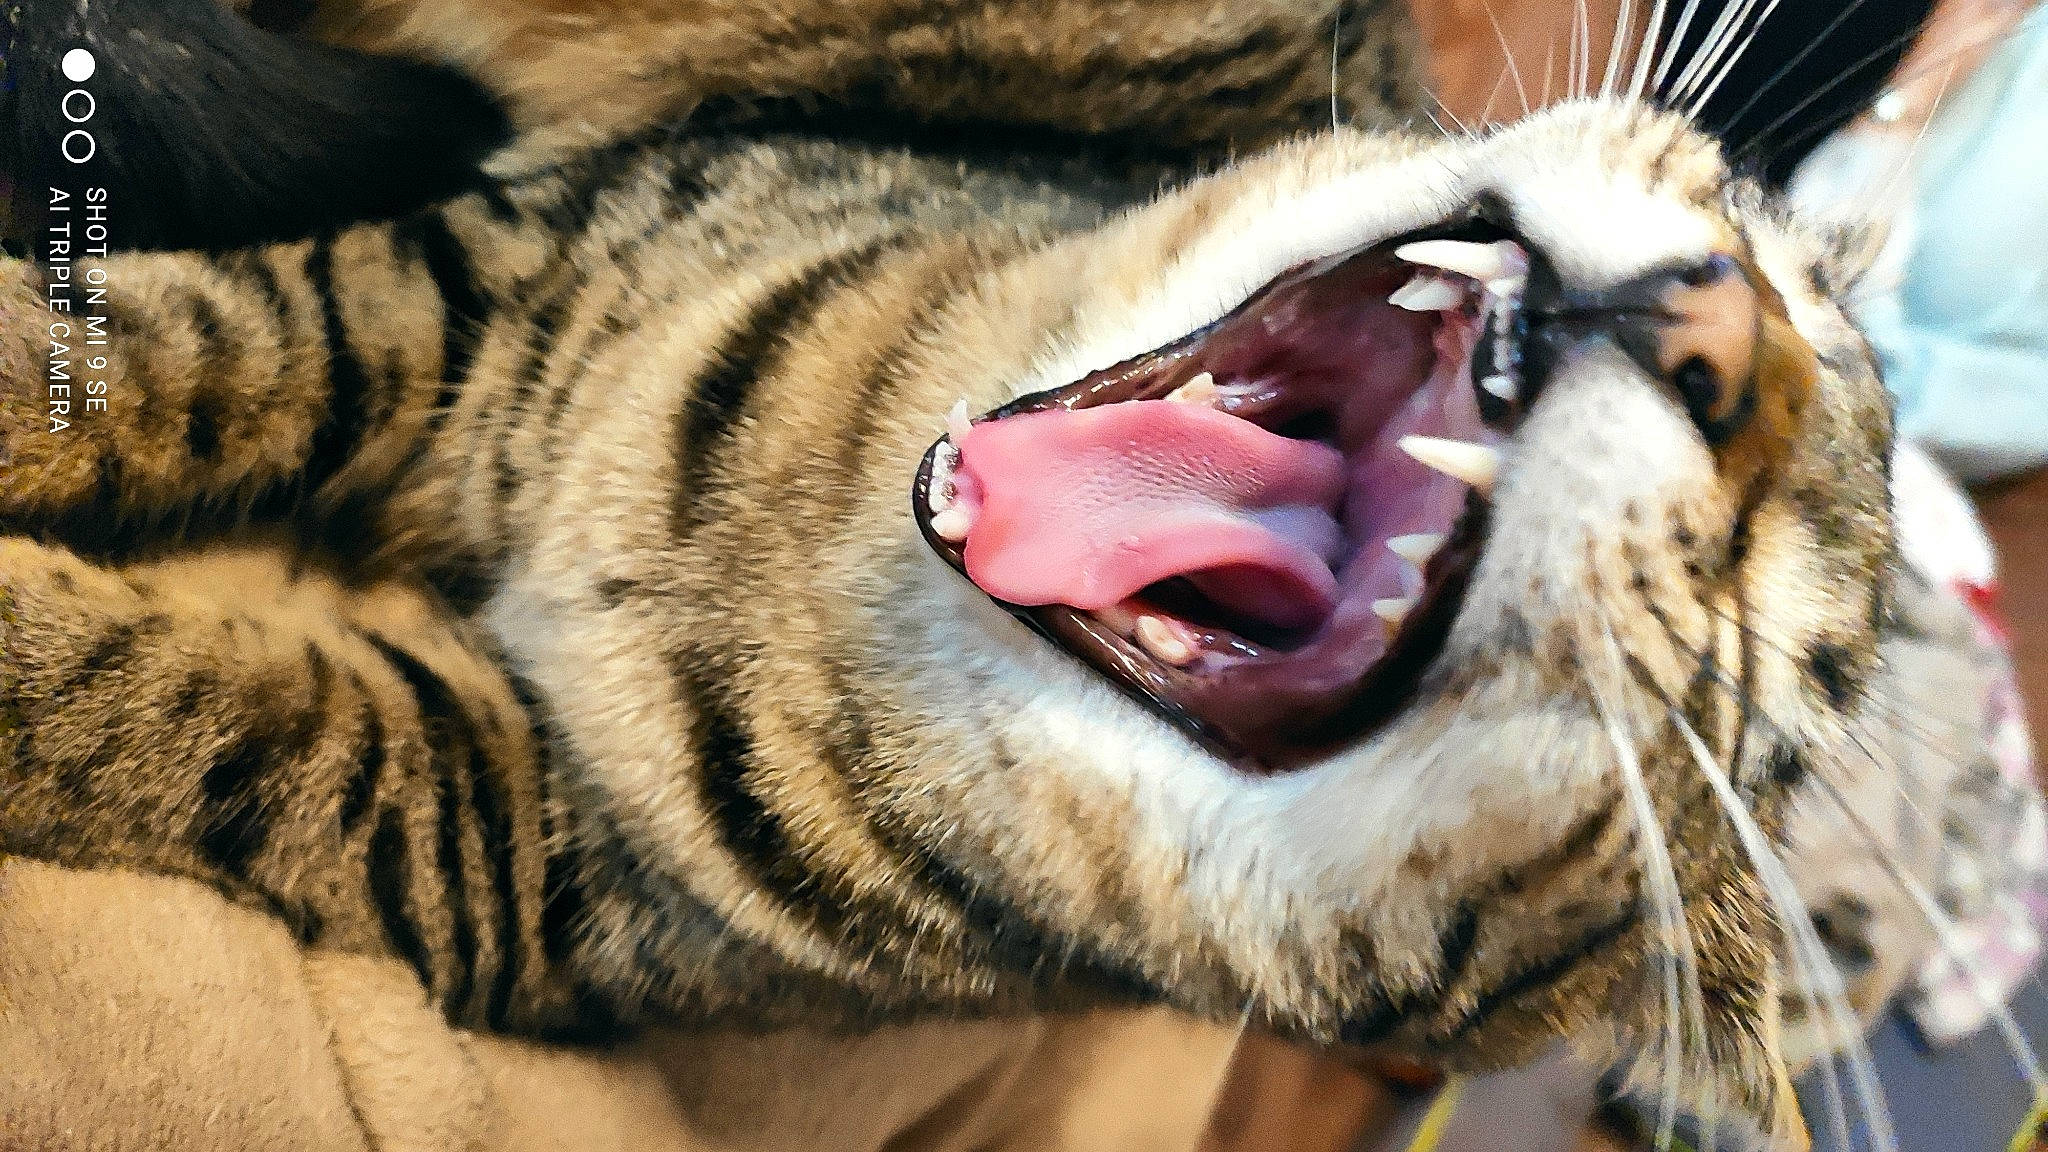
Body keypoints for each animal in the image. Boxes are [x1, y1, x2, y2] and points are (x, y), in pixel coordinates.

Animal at [0, 0, 1904, 1147]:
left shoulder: (508, 845)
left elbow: (211, 718)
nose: (1727, 331)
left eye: (1773, 686)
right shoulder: (473, 257)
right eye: (1789, 277)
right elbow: (180, 341)